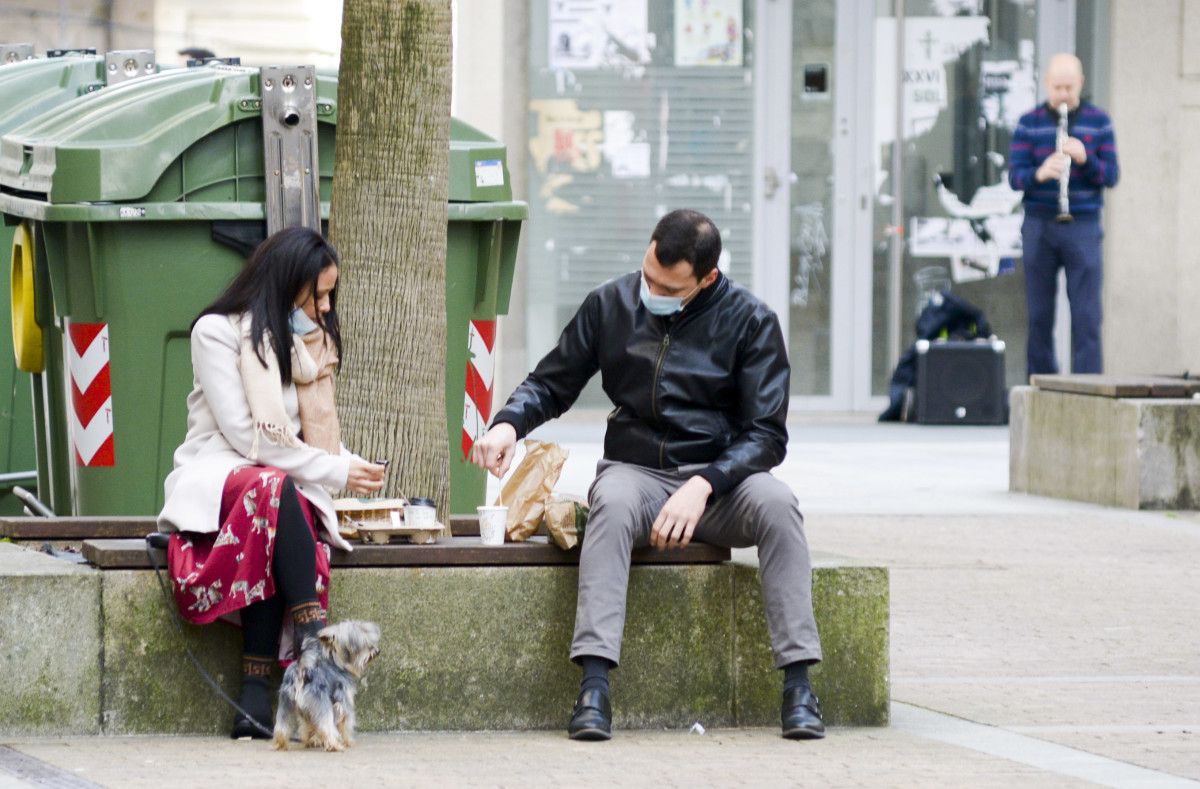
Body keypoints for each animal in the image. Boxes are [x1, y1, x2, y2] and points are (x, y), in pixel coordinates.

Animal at [274, 613, 381, 748]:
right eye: (364, 645)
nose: (377, 651)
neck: (336, 663)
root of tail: (303, 670)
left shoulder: (308, 712)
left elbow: (309, 726)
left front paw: (311, 740)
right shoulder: (343, 702)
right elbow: (345, 724)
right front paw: (348, 741)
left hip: (285, 703)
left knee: (281, 726)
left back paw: (280, 744)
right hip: (323, 704)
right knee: (327, 727)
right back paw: (335, 746)